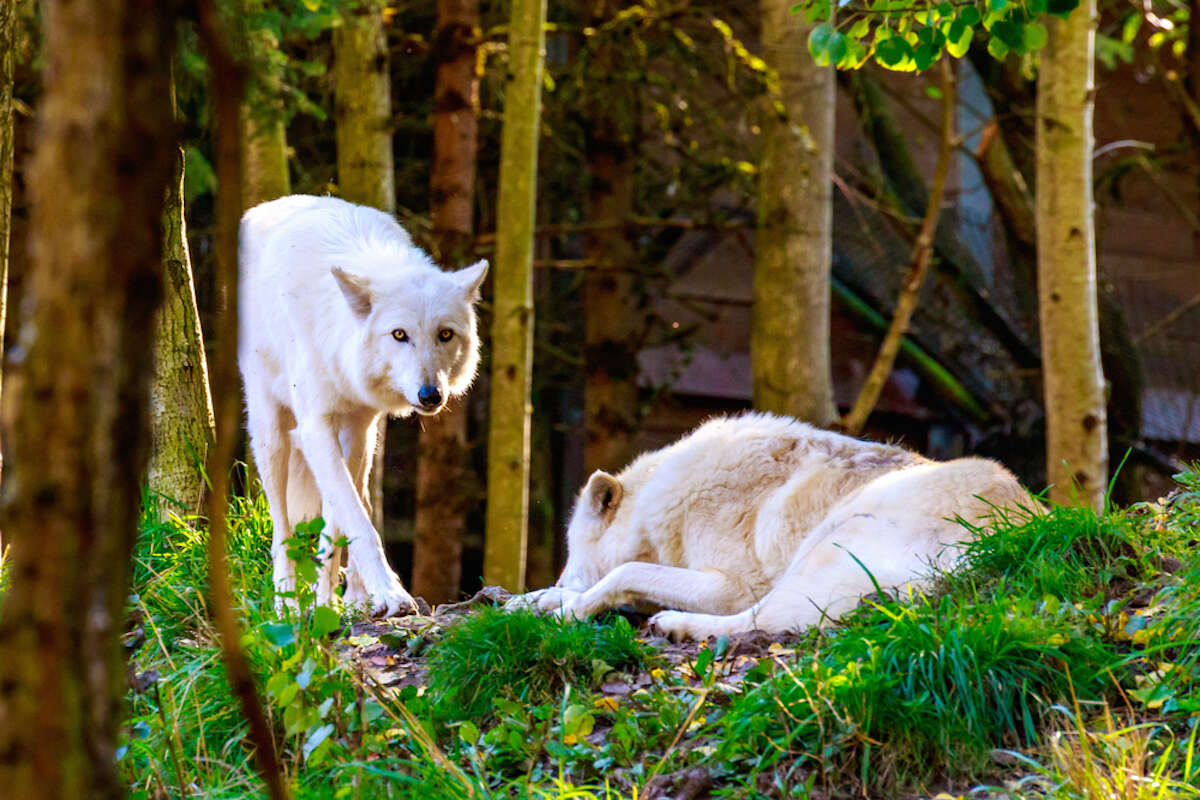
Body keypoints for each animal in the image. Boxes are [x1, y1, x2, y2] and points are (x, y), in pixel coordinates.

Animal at [238, 195, 487, 618]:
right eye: (399, 334)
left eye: (445, 334)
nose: (430, 395)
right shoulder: (315, 426)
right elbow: (354, 519)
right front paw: (389, 593)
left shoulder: (357, 425)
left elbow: (343, 518)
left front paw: (338, 598)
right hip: (271, 434)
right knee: (281, 525)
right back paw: (285, 601)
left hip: (368, 442)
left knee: (360, 500)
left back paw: (350, 596)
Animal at [508, 412, 1032, 638]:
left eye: (571, 551)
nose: (562, 578)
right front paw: (534, 599)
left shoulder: (732, 585)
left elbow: (623, 573)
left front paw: (567, 610)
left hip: (831, 542)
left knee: (766, 620)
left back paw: (677, 625)